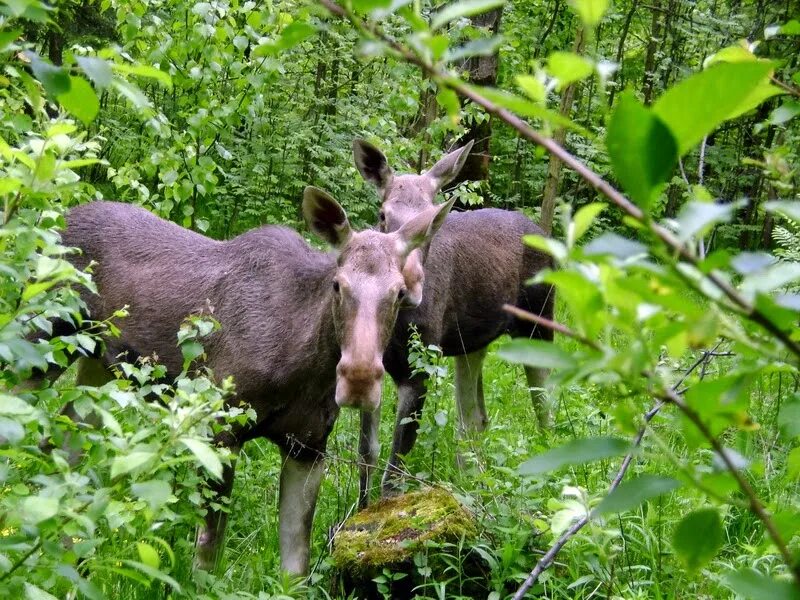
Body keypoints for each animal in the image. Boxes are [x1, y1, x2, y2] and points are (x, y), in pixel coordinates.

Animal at [29, 190, 450, 576]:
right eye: (337, 285)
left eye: (398, 293)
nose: (359, 378)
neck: (302, 363)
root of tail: (56, 218)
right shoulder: (220, 427)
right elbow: (206, 559)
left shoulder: (309, 447)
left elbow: (295, 567)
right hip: (42, 339)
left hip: (98, 364)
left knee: (63, 437)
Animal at [354, 138, 552, 504]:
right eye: (383, 215)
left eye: (434, 221)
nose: (408, 287)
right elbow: (367, 454)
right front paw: (356, 510)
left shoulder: (419, 367)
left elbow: (395, 473)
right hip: (471, 343)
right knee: (474, 418)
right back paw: (473, 482)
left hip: (540, 321)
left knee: (544, 397)